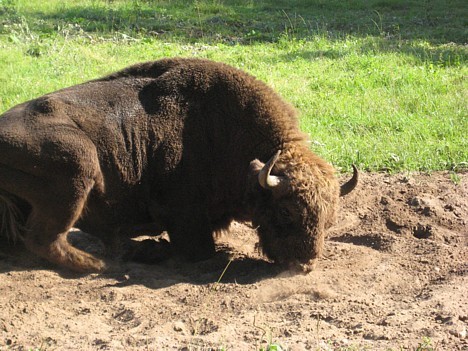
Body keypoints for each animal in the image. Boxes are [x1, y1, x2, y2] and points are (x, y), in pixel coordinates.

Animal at [0, 57, 358, 274]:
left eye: (329, 219)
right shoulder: (183, 215)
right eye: (285, 211)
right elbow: (202, 250)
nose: (304, 261)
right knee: (46, 238)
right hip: (78, 163)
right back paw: (99, 263)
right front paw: (153, 249)